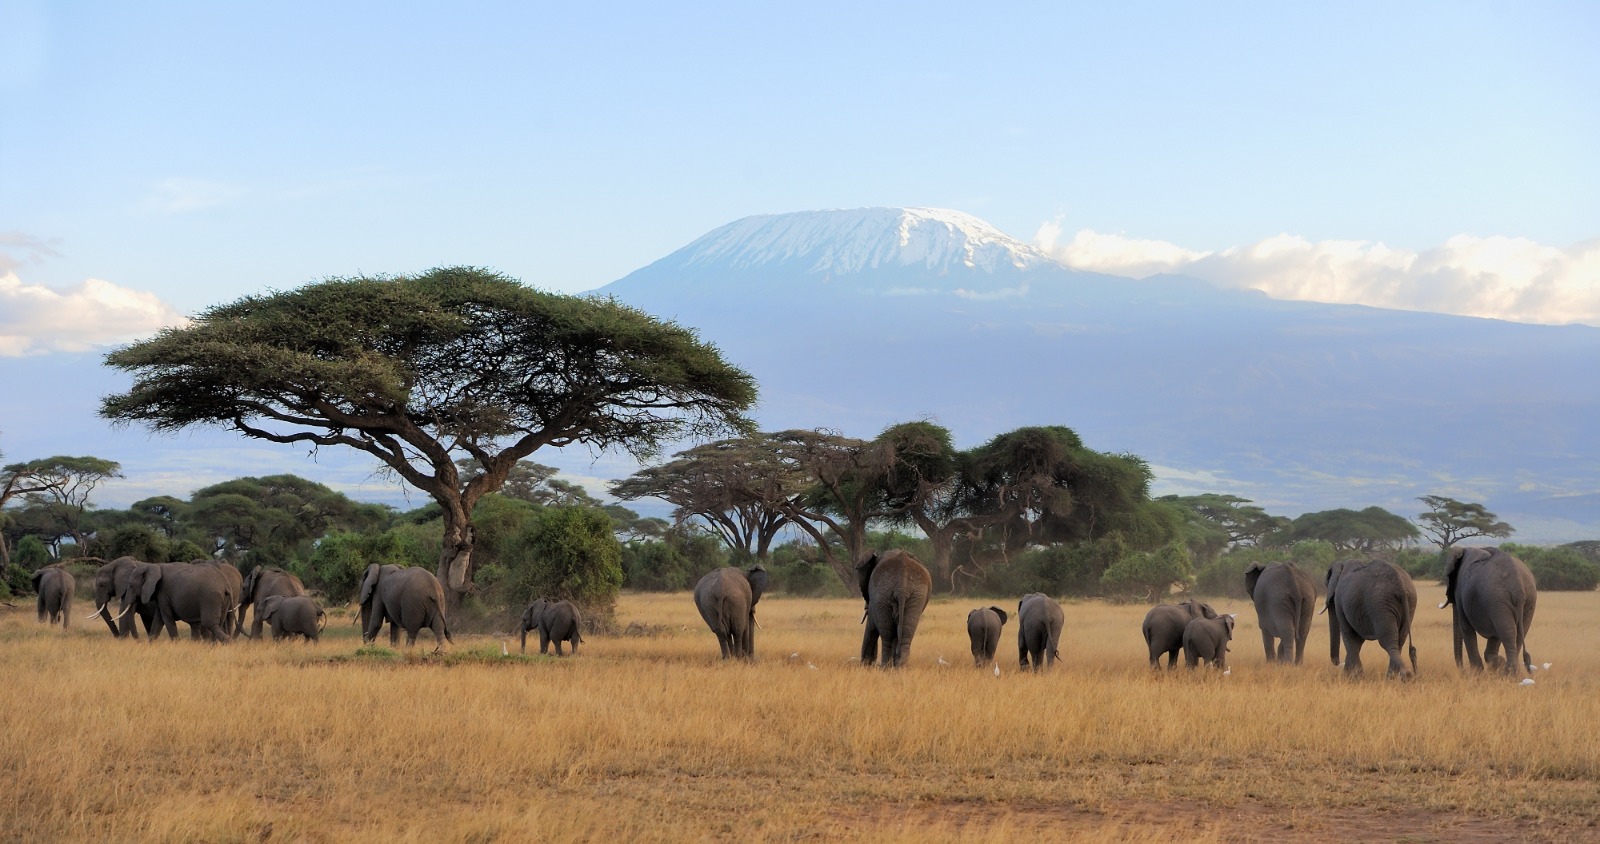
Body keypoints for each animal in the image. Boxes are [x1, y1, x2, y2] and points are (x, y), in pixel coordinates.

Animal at [1440, 546, 1536, 677]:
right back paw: (1508, 672)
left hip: (1498, 598)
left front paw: (1477, 674)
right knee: (1518, 633)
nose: (1463, 671)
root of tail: (1518, 587)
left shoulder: (1460, 592)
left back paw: (1510, 674)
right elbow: (1495, 635)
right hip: (1527, 599)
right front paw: (1496, 664)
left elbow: (1466, 628)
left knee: (1507, 633)